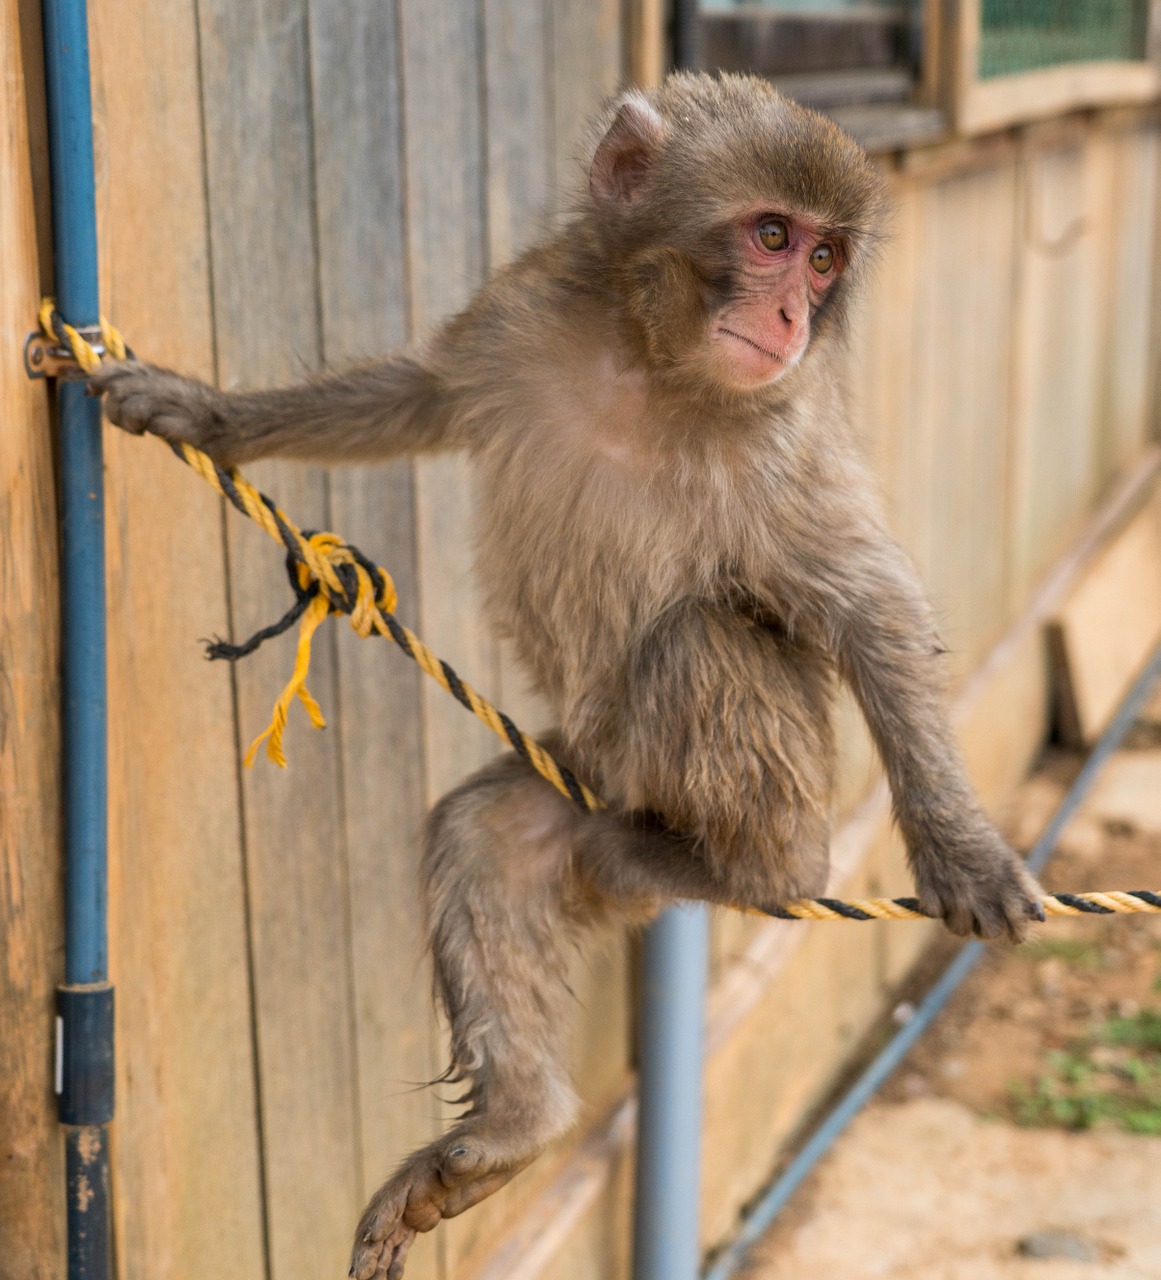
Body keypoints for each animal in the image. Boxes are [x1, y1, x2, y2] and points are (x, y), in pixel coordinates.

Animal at [92, 72, 1044, 1280]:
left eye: (826, 259)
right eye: (773, 238)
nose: (792, 317)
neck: (647, 359)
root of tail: (632, 807)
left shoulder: (782, 439)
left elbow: (865, 605)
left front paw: (960, 845)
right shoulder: (520, 318)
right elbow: (417, 393)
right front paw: (205, 413)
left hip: (654, 778)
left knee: (698, 639)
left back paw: (765, 867)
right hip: (584, 775)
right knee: (485, 839)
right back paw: (512, 1126)